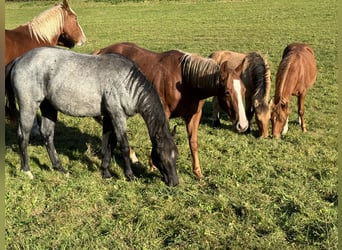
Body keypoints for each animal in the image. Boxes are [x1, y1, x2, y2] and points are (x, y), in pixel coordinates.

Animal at [6, 47, 179, 187]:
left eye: (175, 156)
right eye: (161, 156)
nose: (174, 182)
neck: (126, 82)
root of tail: (19, 59)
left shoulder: (109, 117)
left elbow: (109, 144)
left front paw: (106, 173)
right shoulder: (118, 115)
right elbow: (123, 145)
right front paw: (130, 175)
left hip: (48, 107)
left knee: (47, 135)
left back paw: (60, 168)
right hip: (29, 106)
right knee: (23, 136)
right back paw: (27, 171)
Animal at [92, 42, 248, 179]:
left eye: (244, 90)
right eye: (227, 92)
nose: (243, 125)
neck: (186, 80)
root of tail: (101, 51)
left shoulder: (194, 115)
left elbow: (193, 143)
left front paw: (197, 172)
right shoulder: (162, 113)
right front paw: (153, 165)